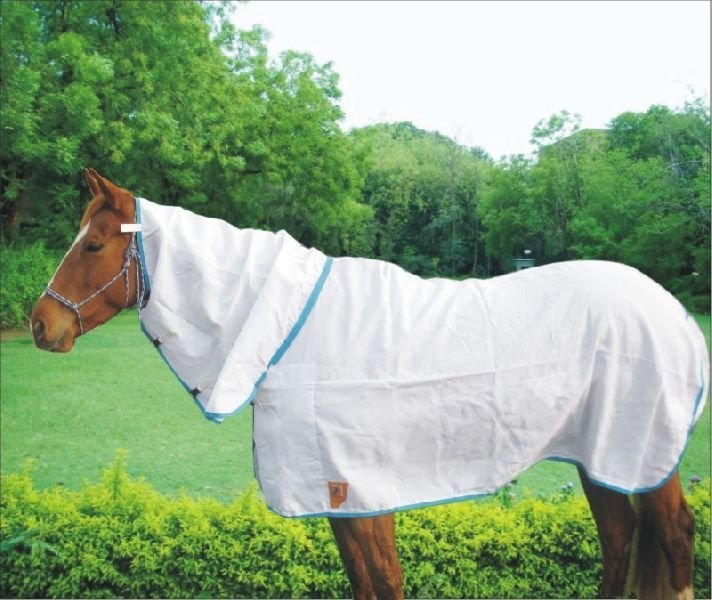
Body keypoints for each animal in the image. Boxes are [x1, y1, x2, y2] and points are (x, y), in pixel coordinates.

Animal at [30, 169, 707, 600]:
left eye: (93, 244)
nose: (40, 325)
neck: (290, 337)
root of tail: (672, 310)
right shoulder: (339, 500)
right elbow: (365, 584)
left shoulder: (359, 492)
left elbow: (383, 581)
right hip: (602, 456)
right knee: (619, 538)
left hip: (644, 450)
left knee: (673, 535)